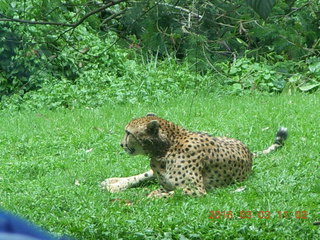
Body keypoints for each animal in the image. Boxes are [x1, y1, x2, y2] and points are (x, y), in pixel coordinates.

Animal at [101, 113, 288, 197]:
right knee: (143, 176)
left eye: (128, 133)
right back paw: (113, 183)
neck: (165, 148)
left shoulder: (196, 190)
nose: (121, 144)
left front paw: (153, 195)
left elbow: (170, 192)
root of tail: (246, 147)